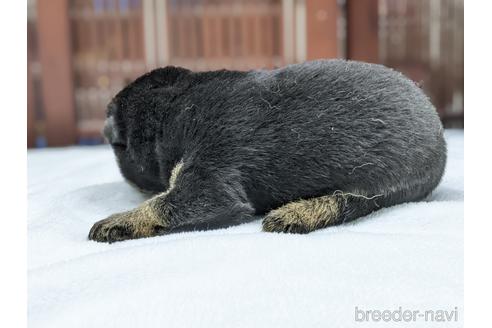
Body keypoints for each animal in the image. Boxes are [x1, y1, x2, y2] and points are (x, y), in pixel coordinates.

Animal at [87, 59, 446, 243]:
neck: (175, 107)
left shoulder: (211, 170)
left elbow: (167, 205)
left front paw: (118, 221)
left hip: (381, 184)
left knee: (347, 202)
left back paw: (294, 214)